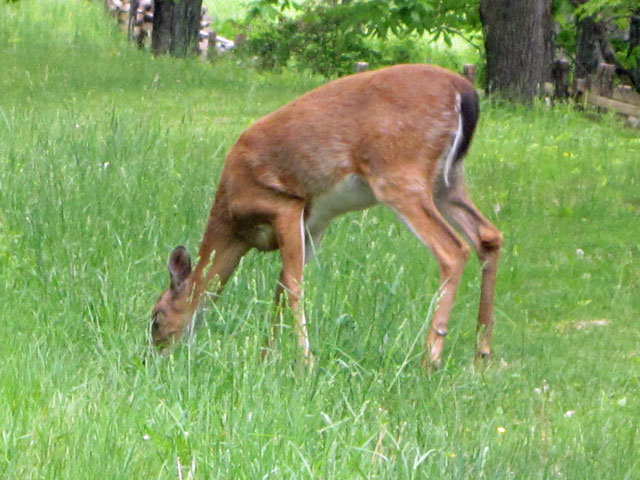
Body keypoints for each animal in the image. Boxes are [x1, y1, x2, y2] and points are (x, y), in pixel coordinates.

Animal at [152, 63, 502, 370]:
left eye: (156, 318)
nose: (155, 355)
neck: (235, 226)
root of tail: (464, 92)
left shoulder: (283, 204)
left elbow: (293, 286)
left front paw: (305, 362)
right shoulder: (314, 224)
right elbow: (281, 289)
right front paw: (266, 357)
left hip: (399, 175)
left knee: (452, 248)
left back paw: (430, 360)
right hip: (448, 181)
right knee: (488, 236)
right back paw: (482, 354)